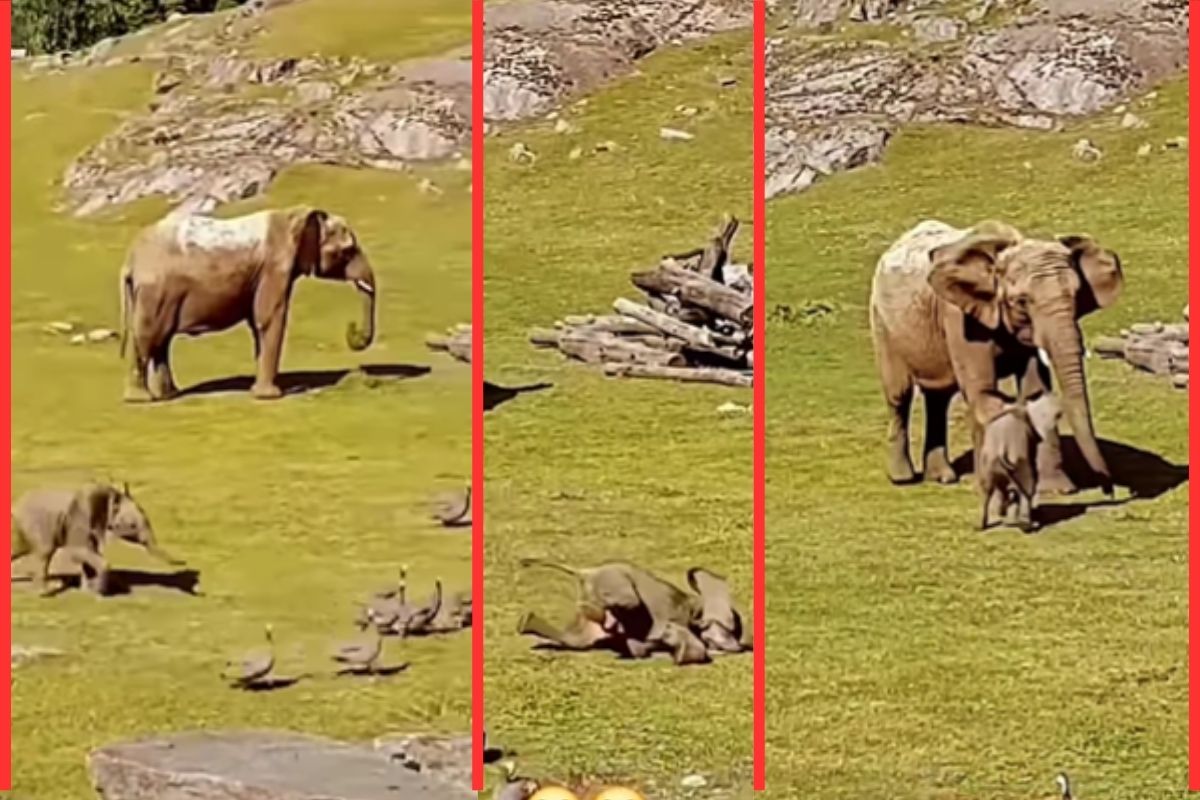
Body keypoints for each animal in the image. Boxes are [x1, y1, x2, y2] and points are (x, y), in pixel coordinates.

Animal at [11, 482, 183, 596]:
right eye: (133, 526)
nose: (184, 562)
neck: (110, 497)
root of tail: (16, 505)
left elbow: (89, 552)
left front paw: (88, 591)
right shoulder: (79, 519)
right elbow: (78, 551)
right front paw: (100, 593)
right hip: (35, 525)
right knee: (45, 552)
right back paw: (45, 593)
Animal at [118, 206, 377, 402]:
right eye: (348, 251)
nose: (351, 328)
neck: (294, 216)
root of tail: (131, 259)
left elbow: (258, 324)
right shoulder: (275, 268)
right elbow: (270, 319)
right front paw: (270, 397)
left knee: (160, 341)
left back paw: (168, 395)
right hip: (156, 292)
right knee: (148, 336)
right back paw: (141, 400)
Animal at [869, 219, 1123, 496]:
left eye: (1076, 296)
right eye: (1022, 301)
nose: (1109, 490)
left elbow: (1035, 392)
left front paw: (1058, 489)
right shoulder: (959, 317)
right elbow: (983, 391)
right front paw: (993, 488)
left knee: (939, 397)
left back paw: (942, 477)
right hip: (883, 323)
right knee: (899, 395)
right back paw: (902, 478)